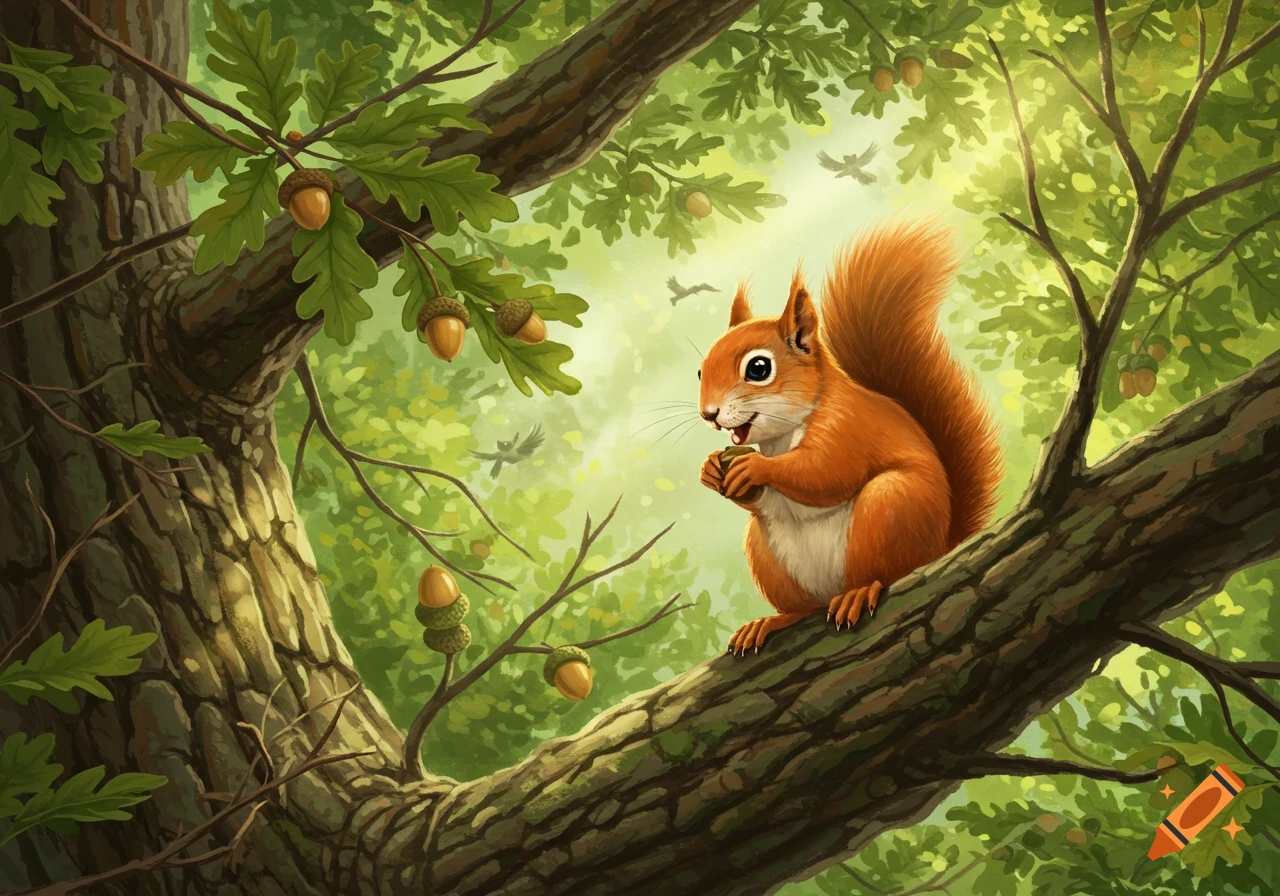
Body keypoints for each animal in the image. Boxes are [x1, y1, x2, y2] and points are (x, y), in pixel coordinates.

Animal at [697, 218, 1003, 655]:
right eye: (700, 370)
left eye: (758, 368)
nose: (709, 414)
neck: (783, 435)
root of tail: (942, 547)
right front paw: (711, 469)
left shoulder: (847, 428)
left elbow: (825, 472)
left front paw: (755, 467)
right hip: (767, 556)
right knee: (805, 606)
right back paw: (773, 621)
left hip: (890, 507)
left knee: (885, 573)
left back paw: (860, 592)